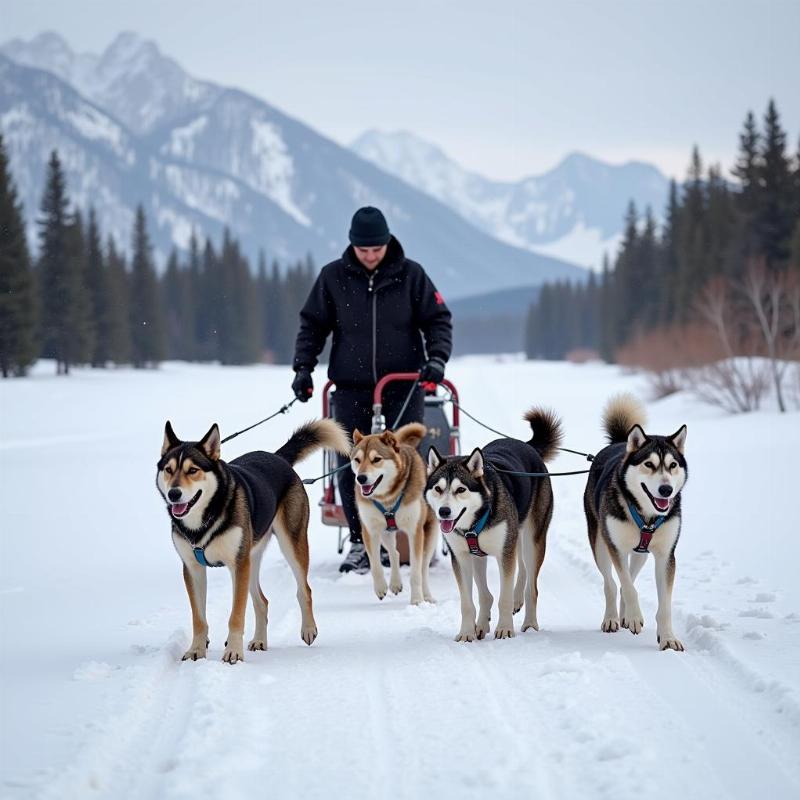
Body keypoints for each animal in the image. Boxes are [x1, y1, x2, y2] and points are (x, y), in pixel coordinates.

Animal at [156, 418, 346, 664]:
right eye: (168, 470)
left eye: (193, 470)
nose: (174, 494)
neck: (205, 520)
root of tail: (278, 458)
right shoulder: (193, 568)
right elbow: (199, 618)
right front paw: (196, 649)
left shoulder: (238, 564)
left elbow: (236, 615)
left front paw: (233, 652)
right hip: (251, 557)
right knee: (262, 601)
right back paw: (259, 641)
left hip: (290, 545)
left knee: (304, 590)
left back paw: (308, 628)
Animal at [352, 422, 438, 604]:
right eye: (357, 460)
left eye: (376, 459)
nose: (360, 478)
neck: (387, 498)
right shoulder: (370, 530)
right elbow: (375, 564)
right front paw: (380, 587)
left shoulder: (415, 532)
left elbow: (416, 572)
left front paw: (416, 600)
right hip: (386, 532)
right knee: (395, 553)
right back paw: (395, 583)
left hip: (430, 535)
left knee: (423, 568)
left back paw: (427, 596)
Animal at [424, 410, 564, 640]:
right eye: (438, 488)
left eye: (461, 489)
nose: (444, 511)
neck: (475, 521)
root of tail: (527, 446)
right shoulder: (461, 557)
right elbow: (467, 602)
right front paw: (467, 632)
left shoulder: (504, 552)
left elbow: (503, 597)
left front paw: (505, 628)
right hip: (486, 552)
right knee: (493, 589)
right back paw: (483, 624)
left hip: (532, 539)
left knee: (531, 585)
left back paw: (530, 623)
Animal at [584, 394, 692, 648]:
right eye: (649, 464)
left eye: (673, 465)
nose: (666, 490)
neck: (647, 516)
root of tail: (618, 443)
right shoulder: (615, 547)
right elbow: (626, 585)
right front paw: (634, 617)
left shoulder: (666, 556)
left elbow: (664, 604)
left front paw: (668, 638)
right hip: (600, 544)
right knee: (612, 583)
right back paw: (612, 618)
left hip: (640, 554)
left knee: (629, 578)